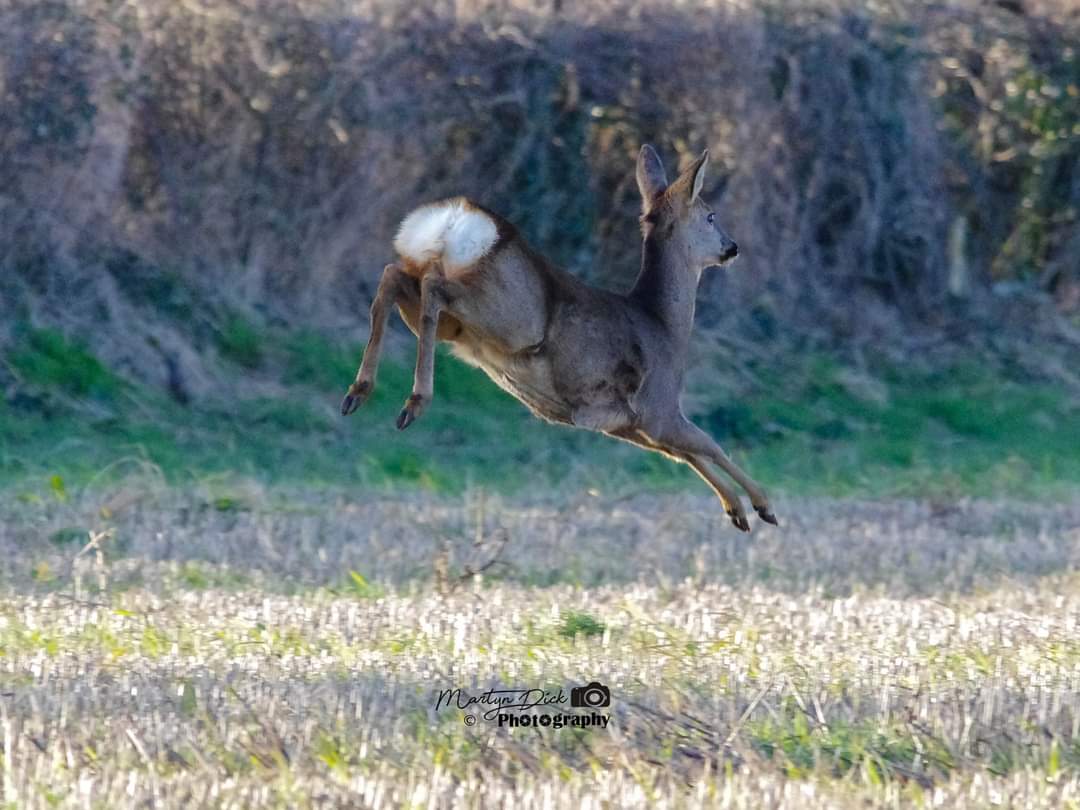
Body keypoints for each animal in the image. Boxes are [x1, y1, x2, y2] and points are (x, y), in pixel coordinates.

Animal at [340, 145, 777, 531]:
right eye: (710, 215)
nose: (732, 247)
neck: (663, 324)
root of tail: (455, 220)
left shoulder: (626, 423)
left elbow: (685, 455)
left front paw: (736, 511)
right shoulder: (659, 404)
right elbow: (709, 444)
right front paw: (763, 506)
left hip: (455, 319)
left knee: (393, 278)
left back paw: (359, 393)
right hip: (506, 314)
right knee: (433, 289)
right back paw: (413, 402)